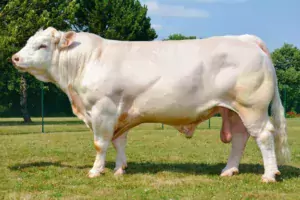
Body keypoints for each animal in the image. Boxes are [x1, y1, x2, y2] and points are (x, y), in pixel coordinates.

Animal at [12, 27, 290, 183]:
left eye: (42, 45)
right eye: (28, 42)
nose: (15, 57)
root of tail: (245, 39)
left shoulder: (102, 109)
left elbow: (100, 143)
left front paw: (96, 171)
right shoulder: (118, 113)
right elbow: (118, 141)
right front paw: (119, 169)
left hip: (252, 107)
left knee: (264, 136)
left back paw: (269, 175)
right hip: (232, 110)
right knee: (240, 139)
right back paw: (229, 170)